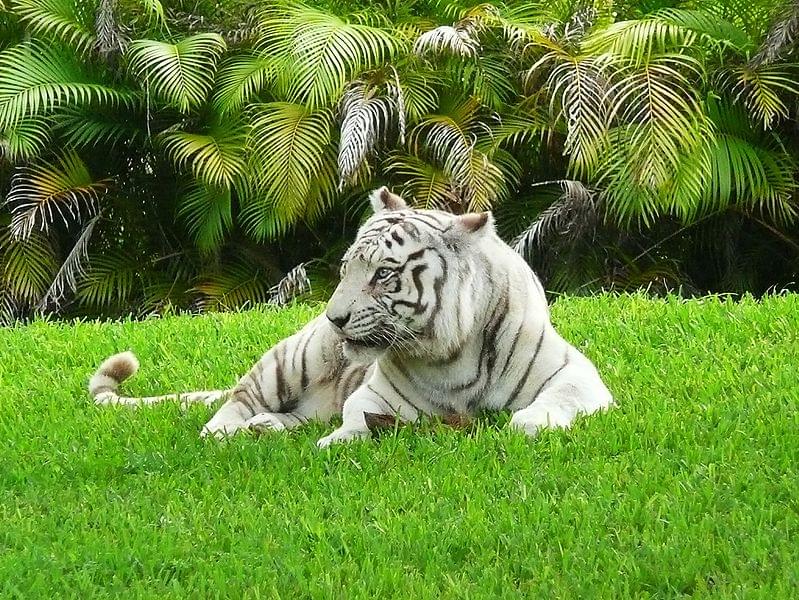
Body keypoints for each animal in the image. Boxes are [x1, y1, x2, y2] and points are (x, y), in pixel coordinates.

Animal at [95, 188, 620, 446]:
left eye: (383, 274)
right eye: (348, 268)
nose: (334, 319)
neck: (452, 353)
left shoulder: (578, 375)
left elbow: (556, 401)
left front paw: (529, 425)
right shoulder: (378, 397)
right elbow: (356, 419)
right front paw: (339, 443)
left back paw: (269, 429)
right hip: (290, 361)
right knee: (234, 405)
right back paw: (229, 433)